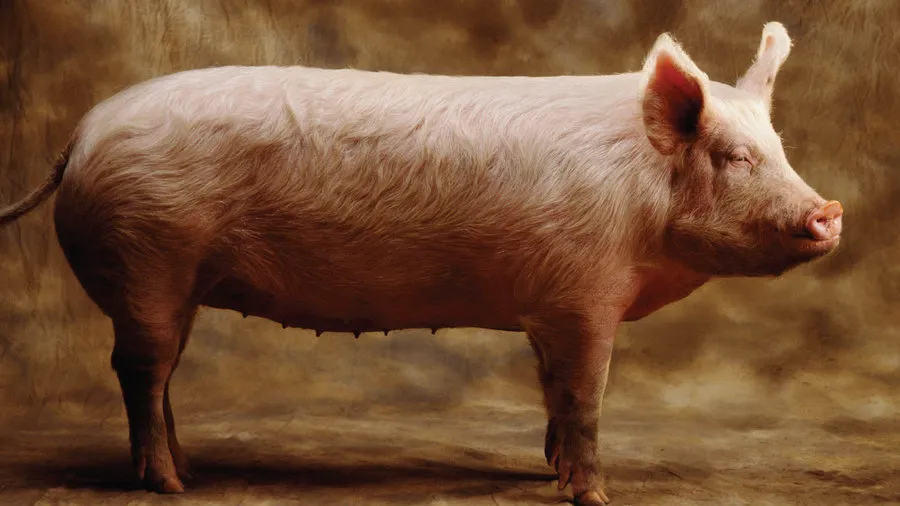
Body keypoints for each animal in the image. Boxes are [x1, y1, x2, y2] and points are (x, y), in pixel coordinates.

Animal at [0, 22, 842, 505]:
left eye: (779, 150)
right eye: (736, 158)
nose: (830, 211)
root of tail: (81, 135)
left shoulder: (548, 304)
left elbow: (554, 395)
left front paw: (550, 473)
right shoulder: (584, 292)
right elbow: (587, 399)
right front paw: (595, 499)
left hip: (169, 278)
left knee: (159, 374)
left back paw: (187, 471)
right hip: (149, 260)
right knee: (140, 371)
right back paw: (172, 486)